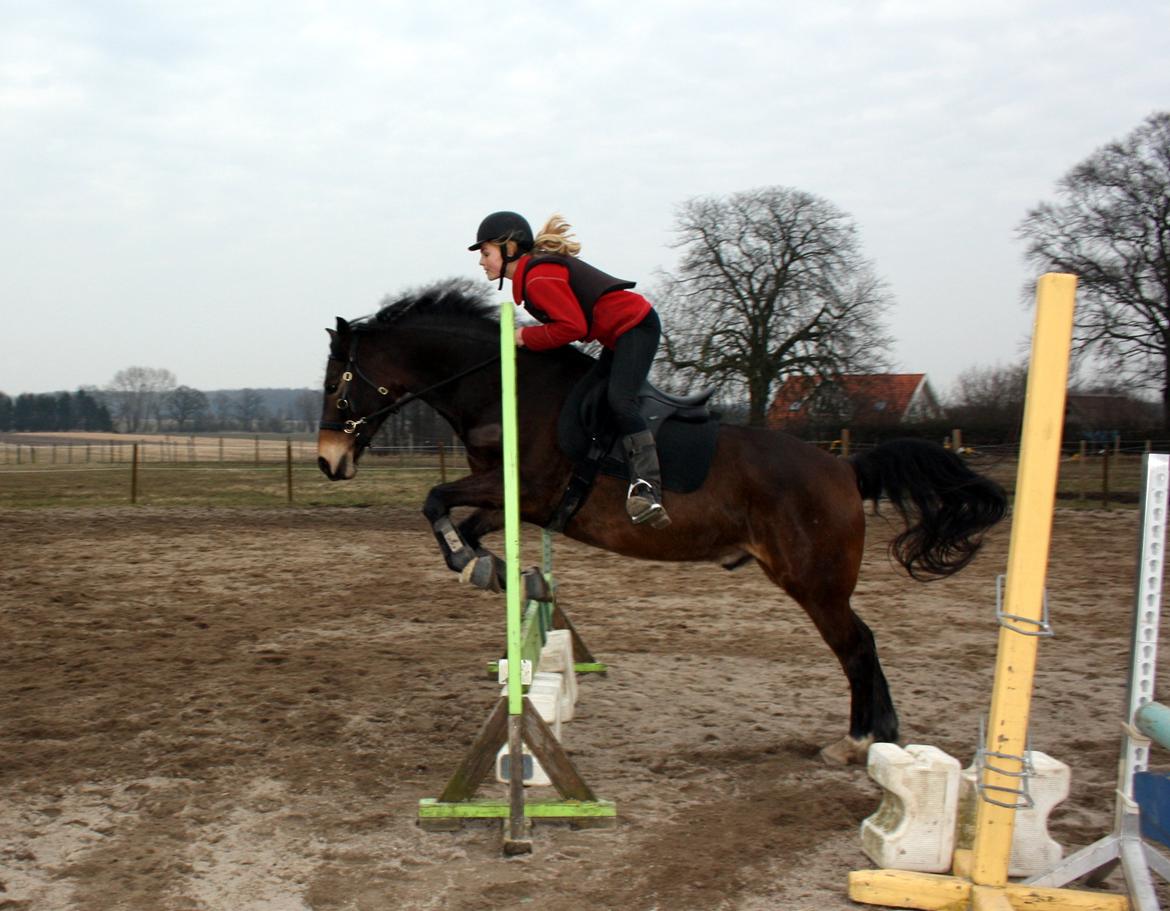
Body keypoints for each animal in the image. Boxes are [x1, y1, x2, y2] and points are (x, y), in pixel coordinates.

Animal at [318, 281, 1006, 767]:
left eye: (335, 385)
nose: (329, 461)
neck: (502, 390)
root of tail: (846, 467)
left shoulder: (526, 488)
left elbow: (434, 500)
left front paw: (477, 567)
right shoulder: (520, 503)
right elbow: (463, 525)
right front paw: (500, 573)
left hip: (813, 582)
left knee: (857, 645)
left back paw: (859, 741)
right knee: (863, 642)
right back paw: (881, 738)